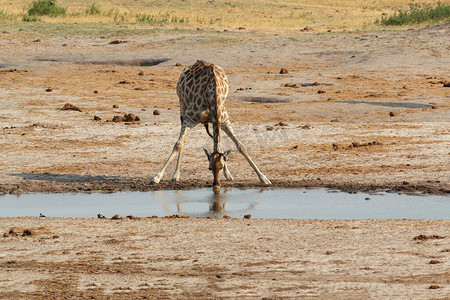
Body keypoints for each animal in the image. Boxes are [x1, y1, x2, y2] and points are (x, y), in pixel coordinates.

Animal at [151, 59, 270, 189]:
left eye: (221, 167)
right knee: (182, 141)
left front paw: (263, 178)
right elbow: (178, 144)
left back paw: (228, 175)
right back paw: (176, 175)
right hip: (182, 105)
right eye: (209, 168)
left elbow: (240, 146)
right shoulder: (189, 119)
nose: (216, 185)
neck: (213, 94)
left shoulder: (223, 120)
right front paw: (157, 177)